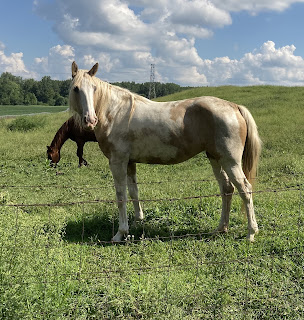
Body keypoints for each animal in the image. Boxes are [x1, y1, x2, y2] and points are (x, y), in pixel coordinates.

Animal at [69, 62, 262, 242]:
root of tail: (234, 107)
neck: (116, 113)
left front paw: (120, 233)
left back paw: (251, 233)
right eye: (76, 88)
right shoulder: (130, 162)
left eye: (94, 88)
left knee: (245, 189)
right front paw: (138, 222)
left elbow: (121, 195)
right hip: (215, 158)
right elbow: (133, 192)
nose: (90, 120)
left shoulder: (118, 162)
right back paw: (221, 228)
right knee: (227, 189)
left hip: (231, 161)